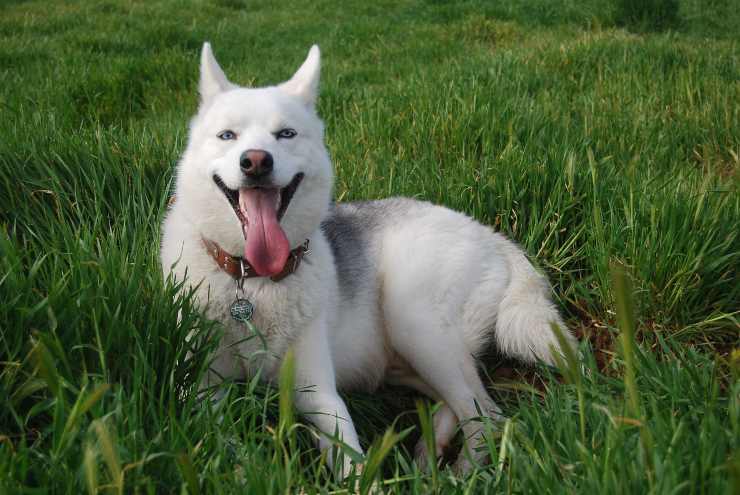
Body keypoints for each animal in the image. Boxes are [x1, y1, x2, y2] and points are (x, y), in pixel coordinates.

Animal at [162, 42, 580, 476]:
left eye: (286, 134)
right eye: (227, 135)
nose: (257, 161)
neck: (252, 283)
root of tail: (491, 235)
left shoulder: (320, 394)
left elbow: (352, 465)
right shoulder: (199, 393)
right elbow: (226, 445)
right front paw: (249, 467)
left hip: (414, 322)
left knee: (485, 414)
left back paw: (458, 473)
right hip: (401, 360)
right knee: (462, 400)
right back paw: (430, 453)